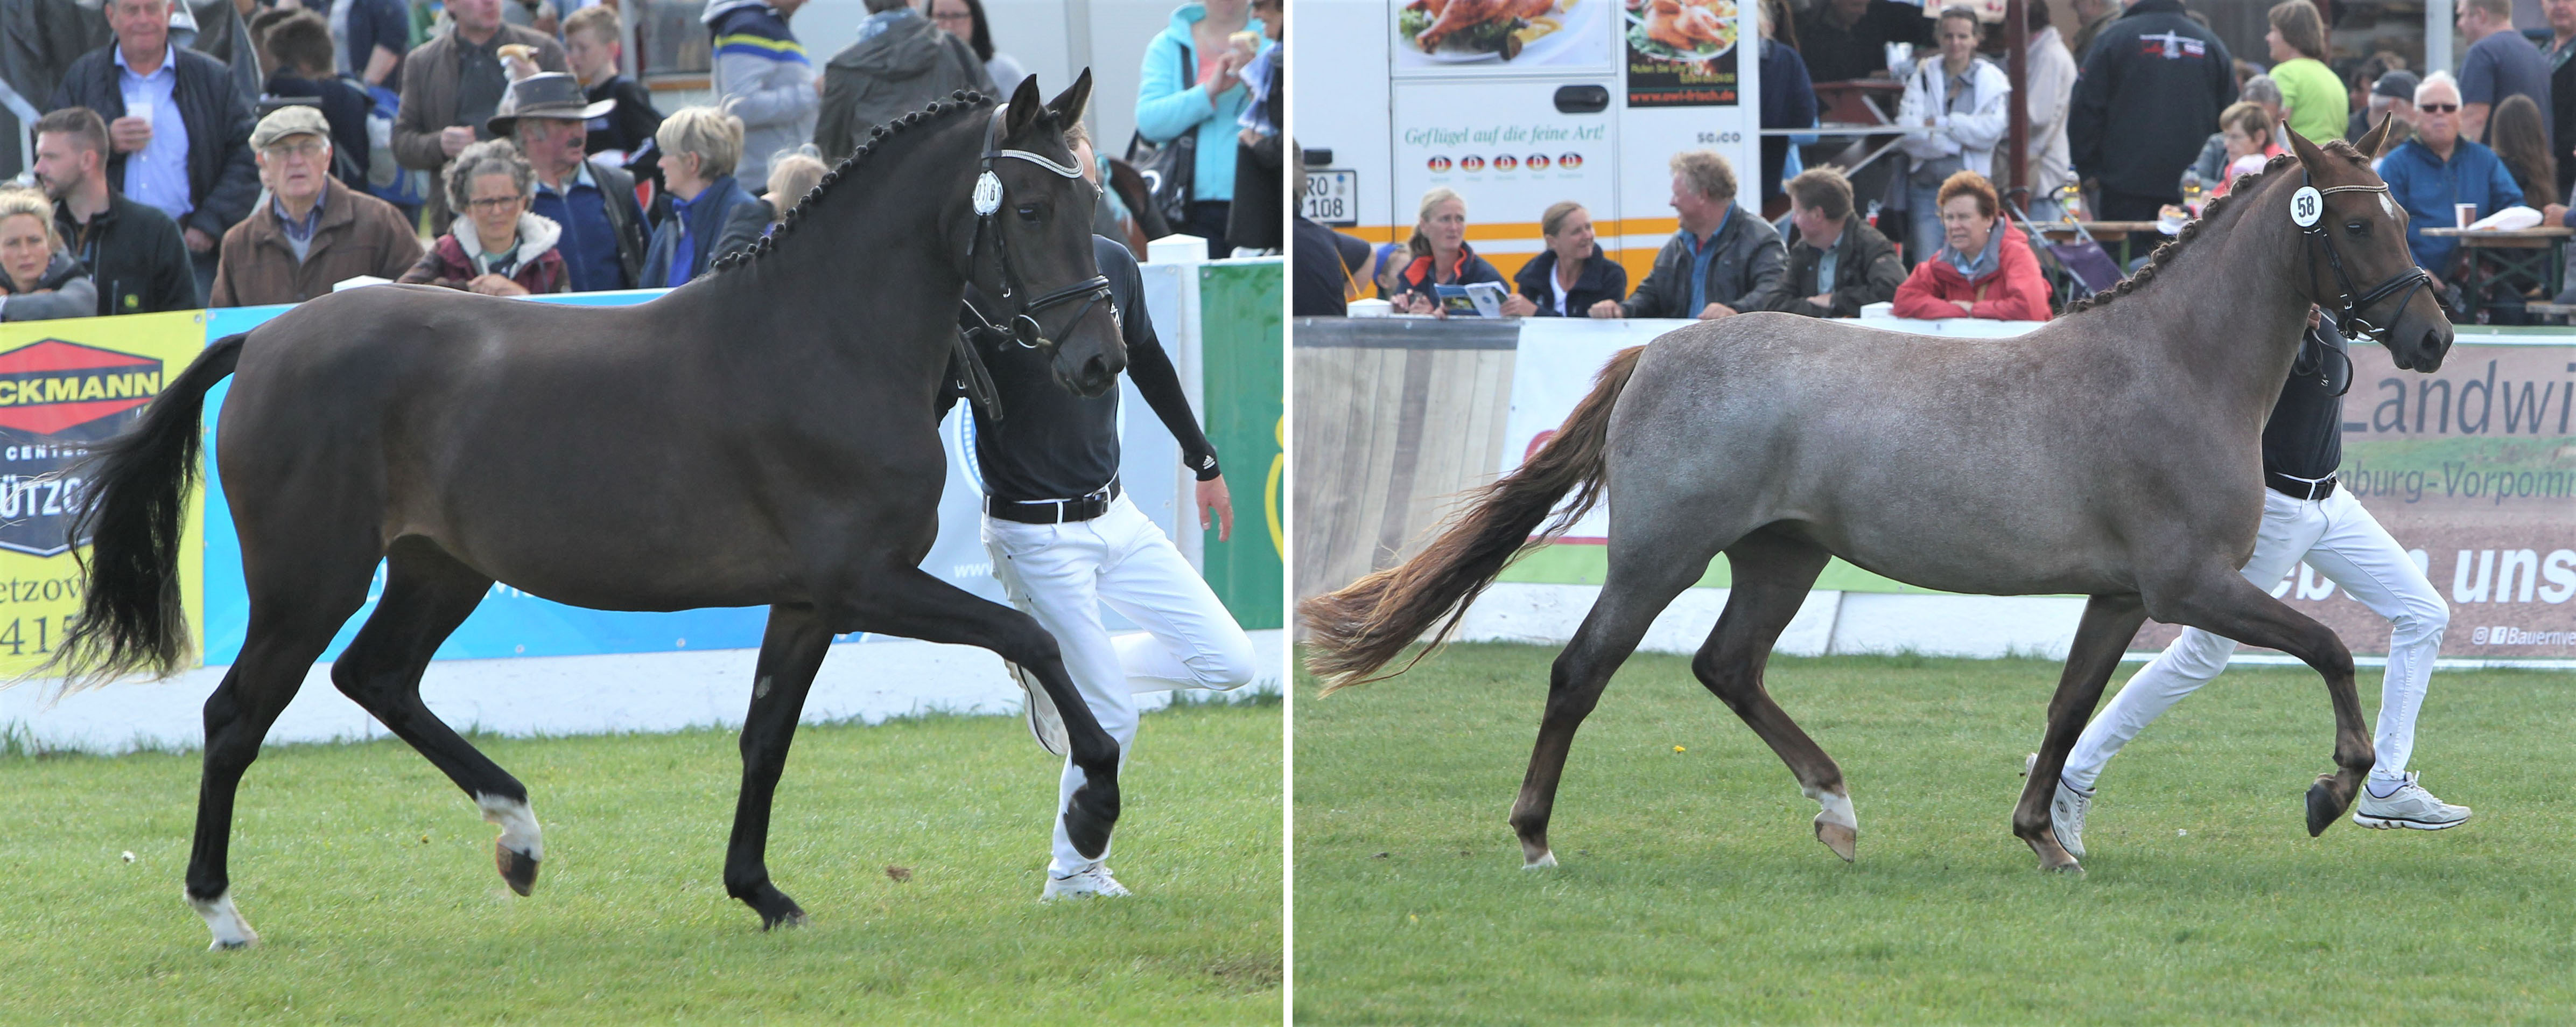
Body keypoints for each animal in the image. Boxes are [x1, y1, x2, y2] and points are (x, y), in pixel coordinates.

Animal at [30, 76, 1123, 952]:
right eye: (1030, 207)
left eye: (1090, 197)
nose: (1100, 358)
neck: (823, 340)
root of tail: (261, 341)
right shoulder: (869, 583)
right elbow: (1031, 637)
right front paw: (1096, 806)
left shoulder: (810, 601)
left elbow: (765, 740)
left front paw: (760, 892)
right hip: (310, 584)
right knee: (235, 717)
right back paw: (222, 911)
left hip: (439, 569)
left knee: (376, 677)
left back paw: (518, 836)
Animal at [1308, 121, 2452, 875]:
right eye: (2357, 225)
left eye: (2399, 214)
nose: (2433, 336)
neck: (2173, 365)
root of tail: (1660, 348)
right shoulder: (2191, 585)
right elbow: (2329, 647)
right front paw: (2334, 789)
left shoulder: (2123, 595)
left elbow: (2070, 706)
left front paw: (2045, 835)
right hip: (1659, 557)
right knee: (1581, 671)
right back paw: (1538, 837)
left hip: (1782, 555)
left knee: (1728, 667)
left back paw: (1837, 809)